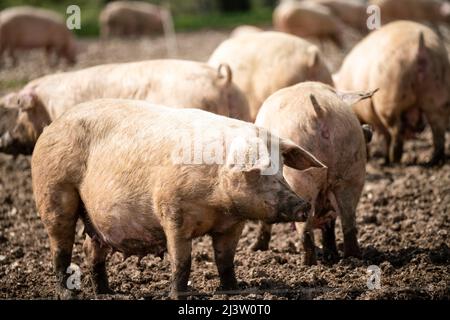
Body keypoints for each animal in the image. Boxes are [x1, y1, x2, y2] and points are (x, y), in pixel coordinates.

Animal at [32, 99, 326, 298]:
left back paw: (107, 292)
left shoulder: (232, 225)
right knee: (60, 248)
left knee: (90, 249)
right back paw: (68, 293)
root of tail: (50, 127)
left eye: (281, 168)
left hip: (95, 218)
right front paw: (179, 296)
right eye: (259, 172)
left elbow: (225, 260)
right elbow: (182, 261)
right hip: (53, 192)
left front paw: (233, 290)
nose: (303, 205)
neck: (217, 203)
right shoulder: (172, 214)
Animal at [251, 81, 374, 264]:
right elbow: (330, 225)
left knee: (306, 230)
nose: (368, 130)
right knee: (348, 222)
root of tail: (320, 112)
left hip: (302, 180)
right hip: (352, 173)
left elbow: (265, 221)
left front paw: (255, 249)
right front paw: (331, 256)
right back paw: (350, 258)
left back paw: (307, 264)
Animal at [334, 21, 450, 165]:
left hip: (391, 95)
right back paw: (433, 160)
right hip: (437, 93)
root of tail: (420, 47)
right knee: (438, 128)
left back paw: (394, 159)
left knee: (396, 130)